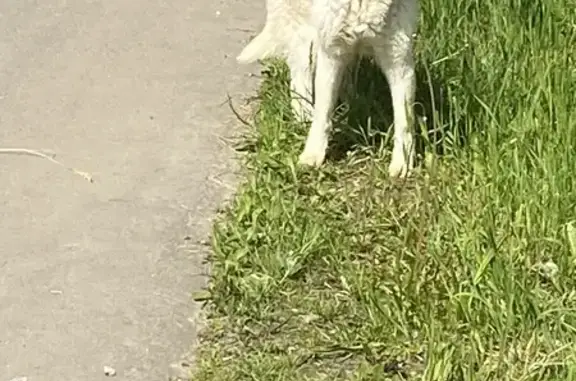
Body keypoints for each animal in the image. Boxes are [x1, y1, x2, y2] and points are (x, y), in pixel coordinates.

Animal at [236, 0, 416, 177]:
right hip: (306, 37)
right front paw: (313, 155)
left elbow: (404, 121)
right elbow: (322, 113)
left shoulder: (398, 60)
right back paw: (304, 116)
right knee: (299, 80)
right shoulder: (331, 52)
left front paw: (403, 162)